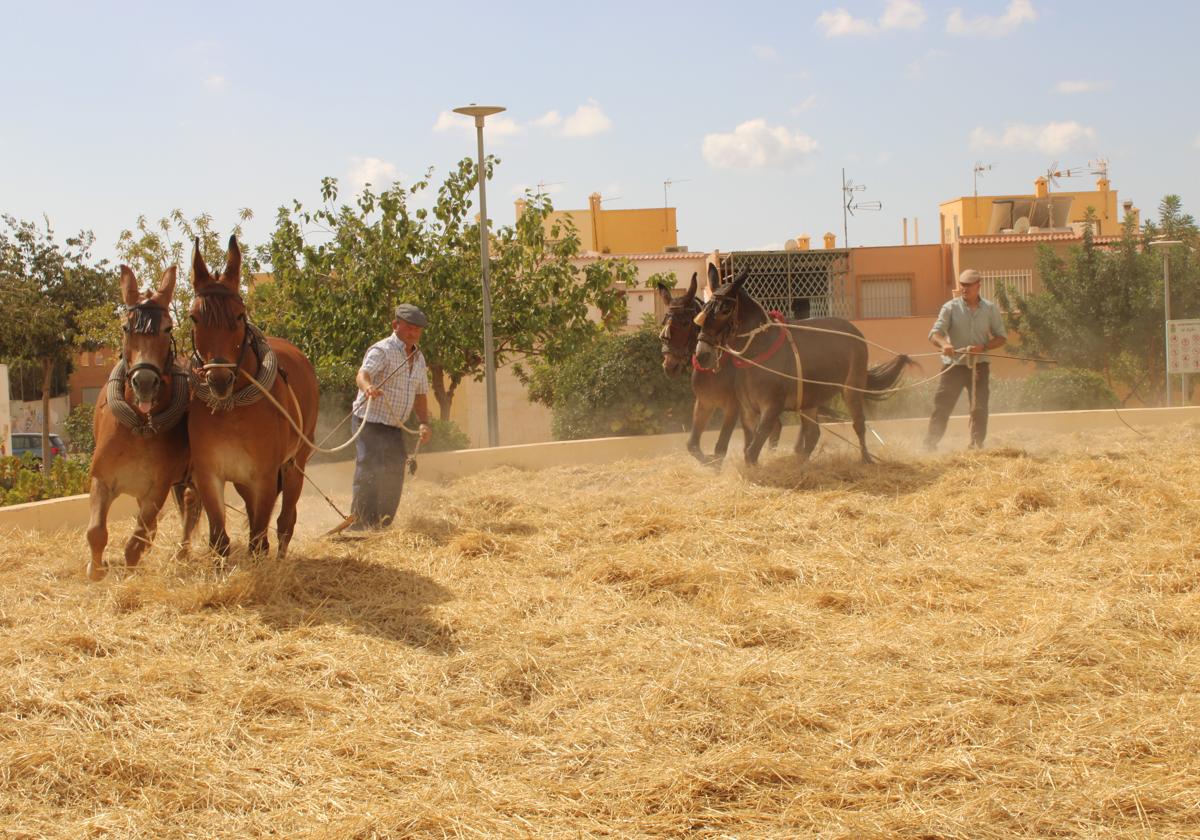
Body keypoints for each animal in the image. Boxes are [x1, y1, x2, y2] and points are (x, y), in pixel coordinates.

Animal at [87, 265, 199, 580]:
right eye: (126, 328)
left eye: (167, 328)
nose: (145, 382)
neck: (139, 427)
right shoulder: (102, 480)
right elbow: (96, 531)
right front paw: (95, 571)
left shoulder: (156, 490)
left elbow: (136, 542)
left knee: (191, 506)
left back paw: (183, 554)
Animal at [187, 235, 319, 556]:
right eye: (194, 318)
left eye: (239, 315)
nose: (219, 380)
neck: (232, 412)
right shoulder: (210, 475)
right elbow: (219, 540)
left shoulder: (265, 477)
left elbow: (260, 539)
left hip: (295, 464)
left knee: (286, 522)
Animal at [657, 268, 777, 465]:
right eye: (663, 323)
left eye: (685, 322)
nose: (669, 365)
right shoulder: (704, 403)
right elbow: (692, 445)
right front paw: (708, 463)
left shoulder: (732, 407)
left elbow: (720, 449)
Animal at [696, 268, 907, 465]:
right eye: (705, 308)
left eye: (725, 309)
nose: (702, 355)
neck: (758, 353)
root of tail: (854, 331)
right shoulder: (748, 413)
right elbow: (748, 449)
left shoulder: (771, 409)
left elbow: (752, 452)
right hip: (810, 400)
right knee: (813, 434)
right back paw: (802, 463)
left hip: (851, 389)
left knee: (859, 424)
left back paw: (866, 459)